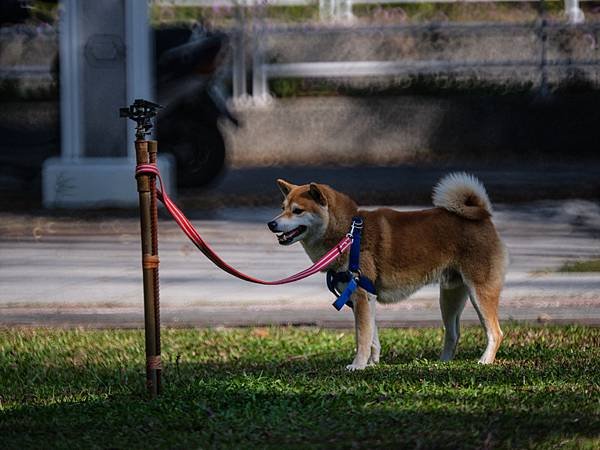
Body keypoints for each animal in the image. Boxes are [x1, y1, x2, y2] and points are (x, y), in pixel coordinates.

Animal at [270, 172, 508, 370]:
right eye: (282, 207)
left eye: (297, 211)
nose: (271, 223)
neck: (348, 234)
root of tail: (483, 215)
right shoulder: (365, 297)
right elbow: (372, 337)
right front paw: (372, 363)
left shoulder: (361, 295)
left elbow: (362, 337)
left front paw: (357, 365)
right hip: (450, 297)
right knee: (453, 333)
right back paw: (442, 363)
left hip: (479, 292)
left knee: (495, 332)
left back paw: (485, 360)